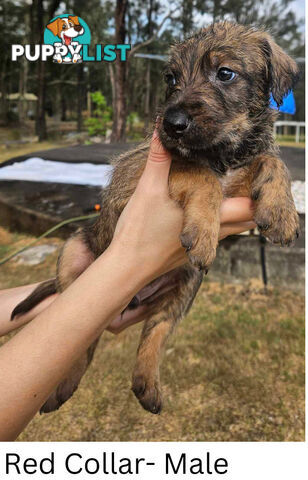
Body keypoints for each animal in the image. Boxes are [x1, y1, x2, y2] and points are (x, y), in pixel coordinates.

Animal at [13, 20, 300, 414]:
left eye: (225, 73)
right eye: (171, 78)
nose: (172, 123)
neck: (222, 151)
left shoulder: (239, 177)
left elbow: (272, 160)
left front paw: (282, 211)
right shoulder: (142, 172)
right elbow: (198, 171)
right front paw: (205, 230)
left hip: (188, 282)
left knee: (157, 330)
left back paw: (147, 386)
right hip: (72, 257)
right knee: (80, 338)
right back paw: (63, 387)